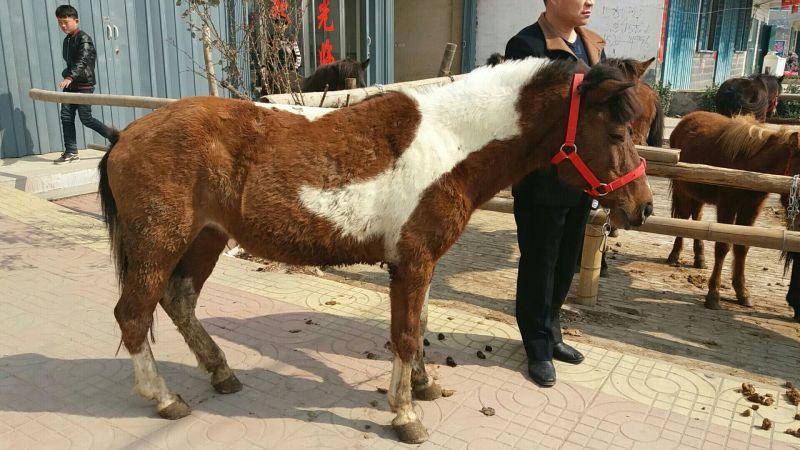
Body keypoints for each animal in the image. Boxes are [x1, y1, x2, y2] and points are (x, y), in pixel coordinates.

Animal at [98, 57, 653, 444]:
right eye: (617, 131)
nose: (642, 207)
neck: (451, 144)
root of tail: (125, 134)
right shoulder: (411, 263)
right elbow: (405, 336)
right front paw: (406, 415)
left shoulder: (421, 263)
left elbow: (420, 325)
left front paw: (424, 387)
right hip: (159, 242)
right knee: (133, 314)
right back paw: (165, 399)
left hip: (206, 238)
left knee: (179, 301)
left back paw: (222, 373)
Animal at [667, 111, 800, 310]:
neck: (749, 167)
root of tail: (686, 119)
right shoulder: (727, 207)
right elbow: (723, 246)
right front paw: (713, 294)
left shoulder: (751, 210)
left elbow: (742, 246)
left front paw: (742, 292)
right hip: (682, 190)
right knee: (683, 218)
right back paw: (675, 255)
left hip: (698, 194)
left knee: (696, 218)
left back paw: (700, 258)